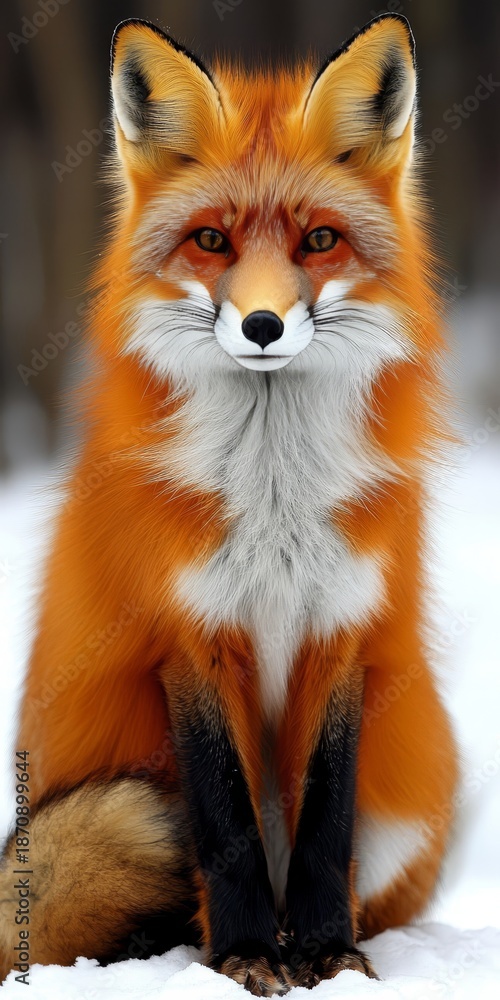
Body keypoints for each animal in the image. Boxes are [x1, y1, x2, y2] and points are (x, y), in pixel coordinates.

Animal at [0, 13, 459, 995]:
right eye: (211, 242)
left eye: (319, 241)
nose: (261, 327)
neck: (274, 498)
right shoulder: (188, 638)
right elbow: (228, 826)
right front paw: (245, 954)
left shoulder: (340, 631)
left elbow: (325, 823)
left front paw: (325, 954)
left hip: (409, 806)